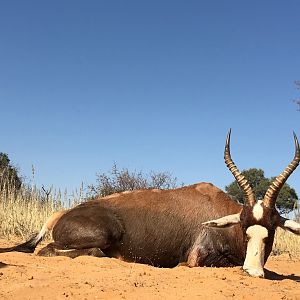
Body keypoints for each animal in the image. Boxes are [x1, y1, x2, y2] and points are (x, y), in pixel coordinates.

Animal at [0, 132, 300, 278]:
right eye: (245, 227)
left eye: (272, 228)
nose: (253, 272)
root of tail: (63, 213)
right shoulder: (199, 259)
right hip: (101, 235)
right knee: (51, 250)